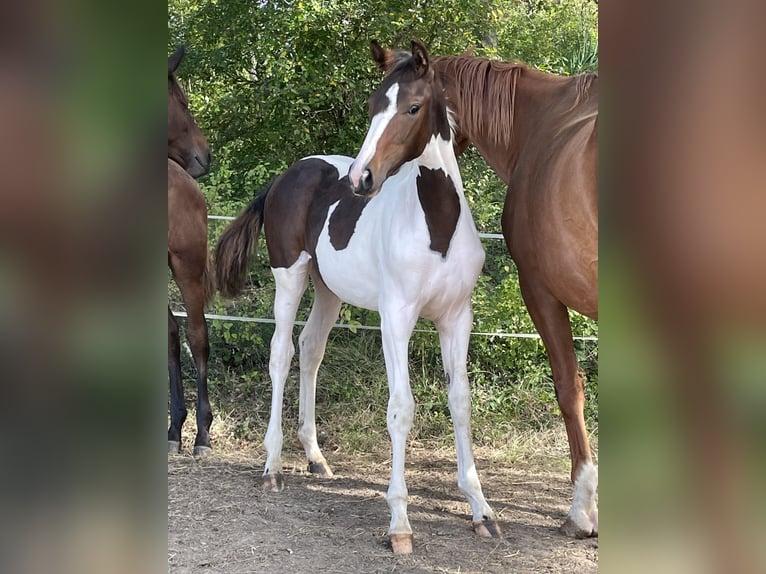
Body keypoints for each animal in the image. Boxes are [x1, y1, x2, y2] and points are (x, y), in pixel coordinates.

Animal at [218, 39, 504, 552]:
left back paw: (315, 458)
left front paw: (481, 509)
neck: (436, 227)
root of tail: (287, 175)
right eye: (372, 106)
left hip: (329, 291)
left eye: (413, 107)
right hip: (290, 277)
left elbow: (461, 402)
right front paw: (400, 523)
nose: (361, 179)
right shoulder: (397, 318)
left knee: (310, 349)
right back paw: (272, 466)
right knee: (280, 354)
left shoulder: (457, 319)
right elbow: (401, 408)